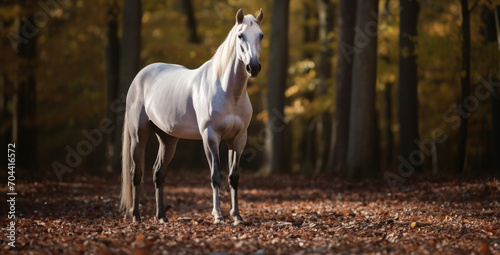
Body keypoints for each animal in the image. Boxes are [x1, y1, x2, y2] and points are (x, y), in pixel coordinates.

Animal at [119, 8, 264, 225]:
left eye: (260, 35)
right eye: (240, 35)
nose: (253, 67)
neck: (228, 91)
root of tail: (140, 77)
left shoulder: (238, 139)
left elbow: (233, 177)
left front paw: (237, 216)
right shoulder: (210, 137)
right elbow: (215, 176)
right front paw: (218, 216)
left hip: (168, 139)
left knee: (158, 173)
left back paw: (161, 217)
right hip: (139, 136)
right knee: (136, 174)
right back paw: (136, 216)